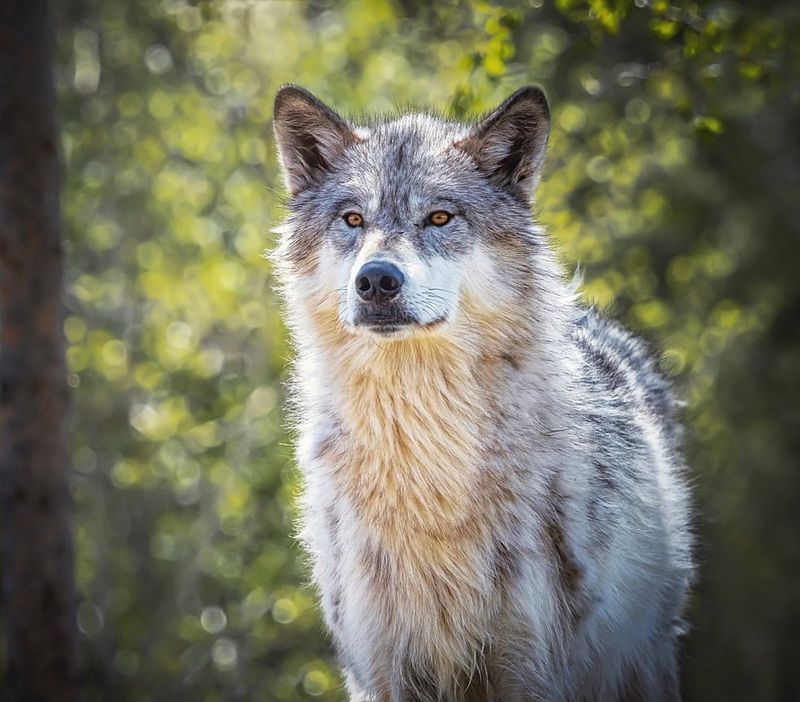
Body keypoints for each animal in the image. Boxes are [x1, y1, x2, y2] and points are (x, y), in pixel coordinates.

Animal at [270, 84, 692, 702]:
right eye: (353, 219)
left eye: (439, 217)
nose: (376, 280)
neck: (427, 469)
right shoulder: (382, 669)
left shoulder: (530, 668)